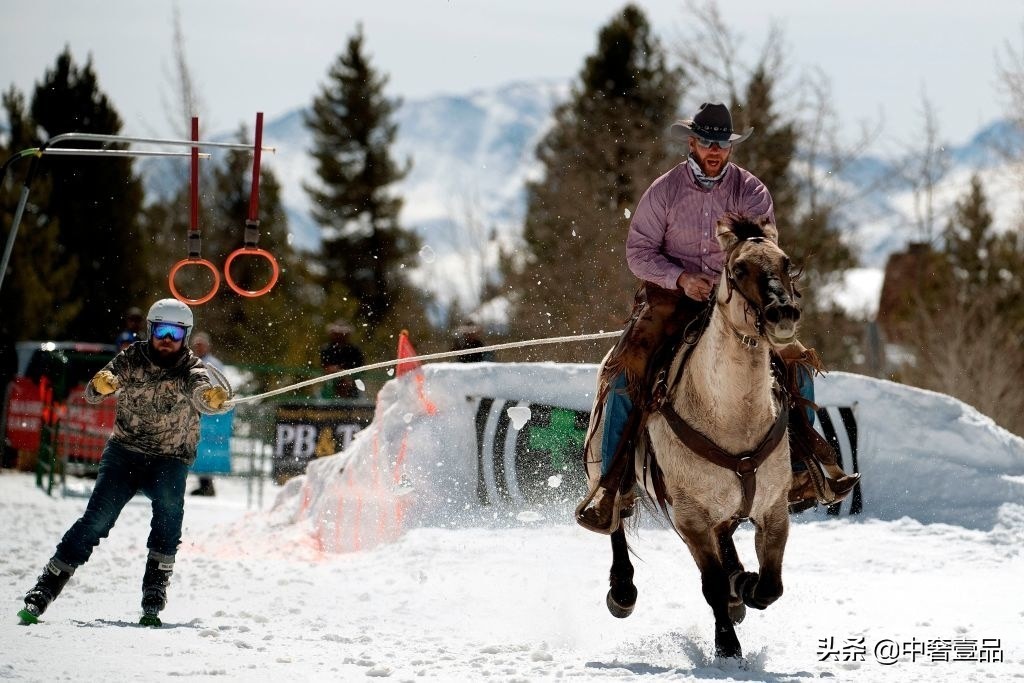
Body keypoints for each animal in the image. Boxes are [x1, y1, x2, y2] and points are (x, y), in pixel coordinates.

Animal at [585, 211, 798, 655]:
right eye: (738, 269)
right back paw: (622, 591)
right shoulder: (690, 517)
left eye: (786, 263)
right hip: (602, 466)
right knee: (615, 517)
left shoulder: (774, 508)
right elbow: (712, 585)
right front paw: (727, 647)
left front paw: (743, 586)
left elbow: (770, 586)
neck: (733, 417)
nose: (782, 315)